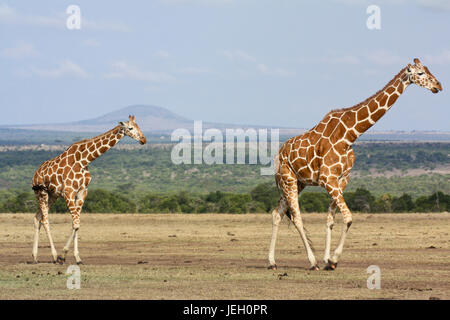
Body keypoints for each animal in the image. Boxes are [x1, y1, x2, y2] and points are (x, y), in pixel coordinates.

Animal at [30, 116, 146, 264]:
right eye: (130, 128)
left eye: (139, 126)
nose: (143, 140)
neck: (84, 161)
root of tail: (35, 174)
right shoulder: (68, 192)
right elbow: (76, 224)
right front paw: (62, 255)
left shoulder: (82, 191)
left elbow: (76, 224)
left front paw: (77, 257)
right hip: (41, 192)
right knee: (45, 220)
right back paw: (54, 256)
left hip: (52, 195)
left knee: (37, 217)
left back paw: (35, 256)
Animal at [268, 57, 442, 270]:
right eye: (420, 73)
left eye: (428, 70)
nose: (438, 86)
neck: (350, 135)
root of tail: (278, 154)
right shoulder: (328, 179)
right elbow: (348, 218)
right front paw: (333, 260)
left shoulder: (342, 179)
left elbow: (330, 219)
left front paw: (327, 260)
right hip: (288, 179)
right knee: (296, 217)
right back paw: (311, 262)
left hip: (298, 182)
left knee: (277, 213)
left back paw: (272, 262)